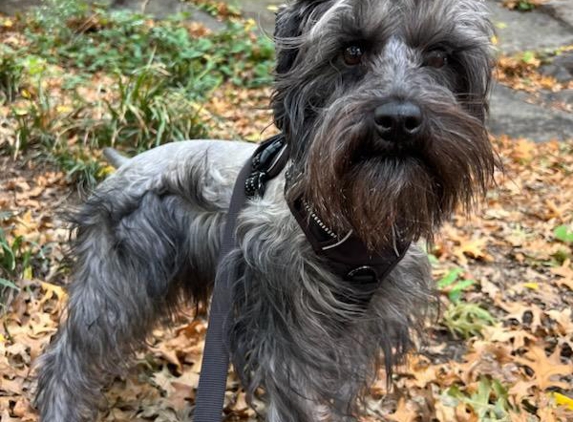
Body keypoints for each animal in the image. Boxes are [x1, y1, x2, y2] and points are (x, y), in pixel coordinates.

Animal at [34, 0, 496, 420]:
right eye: (351, 51)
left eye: (441, 56)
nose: (399, 120)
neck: (352, 224)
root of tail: (125, 166)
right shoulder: (290, 345)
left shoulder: (356, 340)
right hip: (115, 290)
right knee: (66, 358)